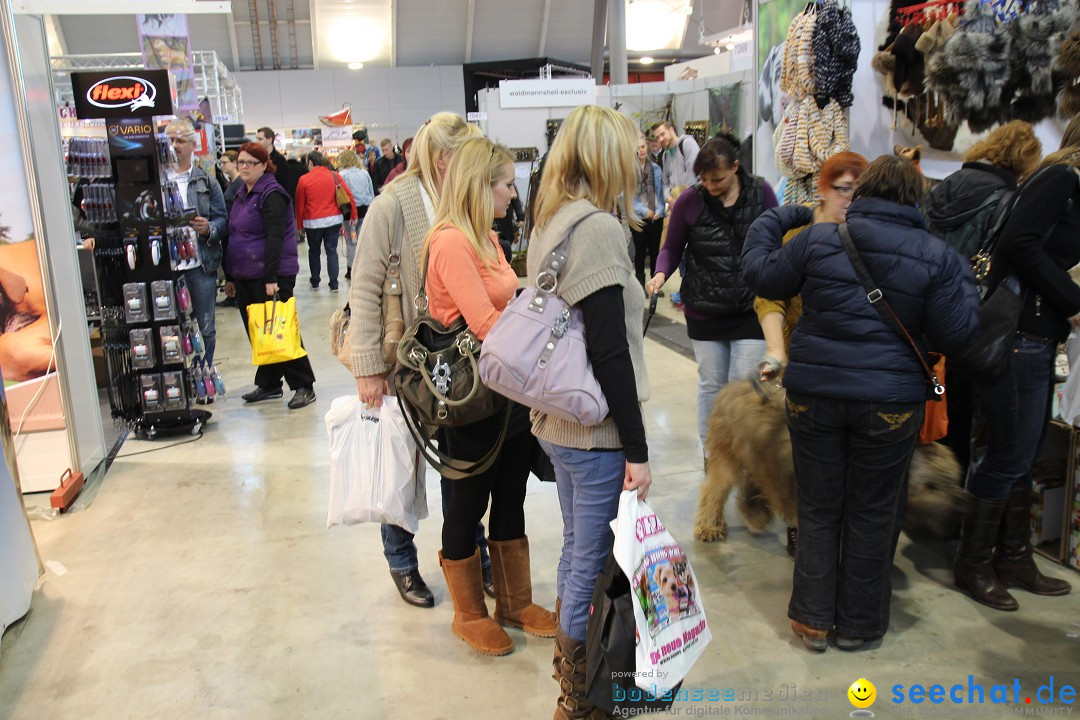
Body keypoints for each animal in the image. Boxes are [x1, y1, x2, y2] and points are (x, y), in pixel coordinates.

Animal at [695, 377, 967, 546]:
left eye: (956, 480)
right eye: (931, 486)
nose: (956, 524)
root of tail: (732, 386)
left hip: (755, 455)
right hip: (728, 457)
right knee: (713, 490)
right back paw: (709, 526)